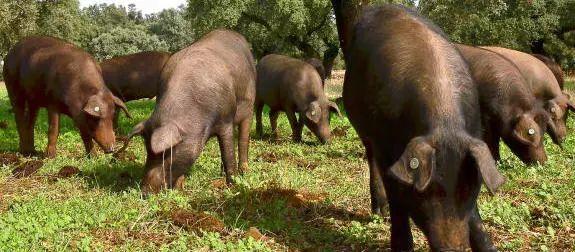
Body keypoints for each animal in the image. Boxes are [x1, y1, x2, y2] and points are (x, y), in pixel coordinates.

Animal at [118, 30, 255, 195]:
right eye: (147, 151)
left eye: (166, 153)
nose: (144, 191)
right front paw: (179, 188)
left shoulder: (226, 119)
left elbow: (228, 153)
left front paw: (232, 186)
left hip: (249, 104)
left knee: (243, 139)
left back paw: (244, 171)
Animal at [330, 2, 506, 252]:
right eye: (427, 192)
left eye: (469, 191)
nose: (453, 249)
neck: (444, 123)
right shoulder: (386, 148)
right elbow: (397, 201)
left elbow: (475, 218)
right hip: (365, 129)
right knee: (371, 159)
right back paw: (379, 212)